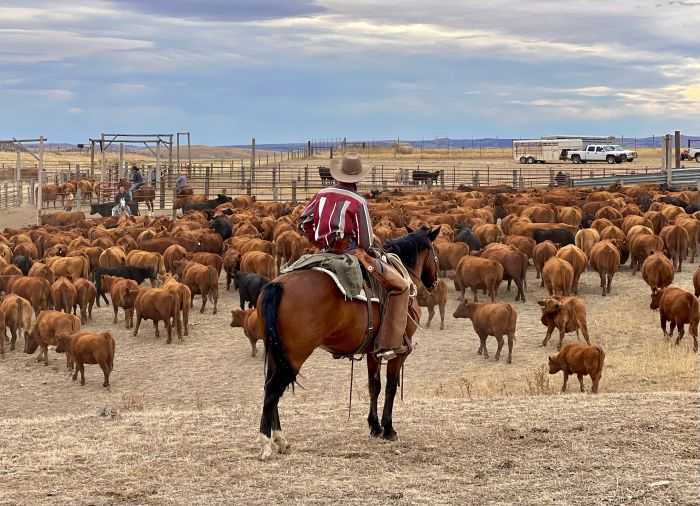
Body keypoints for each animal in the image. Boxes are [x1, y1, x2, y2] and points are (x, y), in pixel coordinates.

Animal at [258, 227, 438, 460]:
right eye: (435, 253)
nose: (434, 282)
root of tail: (276, 284)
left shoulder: (373, 351)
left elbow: (374, 386)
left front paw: (375, 426)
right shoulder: (398, 353)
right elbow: (390, 387)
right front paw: (388, 428)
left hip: (277, 353)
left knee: (271, 388)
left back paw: (280, 440)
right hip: (295, 355)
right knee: (273, 390)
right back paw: (266, 444)